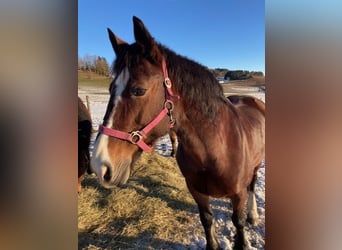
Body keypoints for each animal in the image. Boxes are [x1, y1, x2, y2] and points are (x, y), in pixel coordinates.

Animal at [90, 16, 264, 249]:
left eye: (139, 90)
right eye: (110, 89)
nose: (100, 165)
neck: (216, 149)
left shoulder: (238, 195)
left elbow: (239, 222)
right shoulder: (196, 191)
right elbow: (207, 219)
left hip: (256, 165)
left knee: (253, 184)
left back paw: (253, 214)